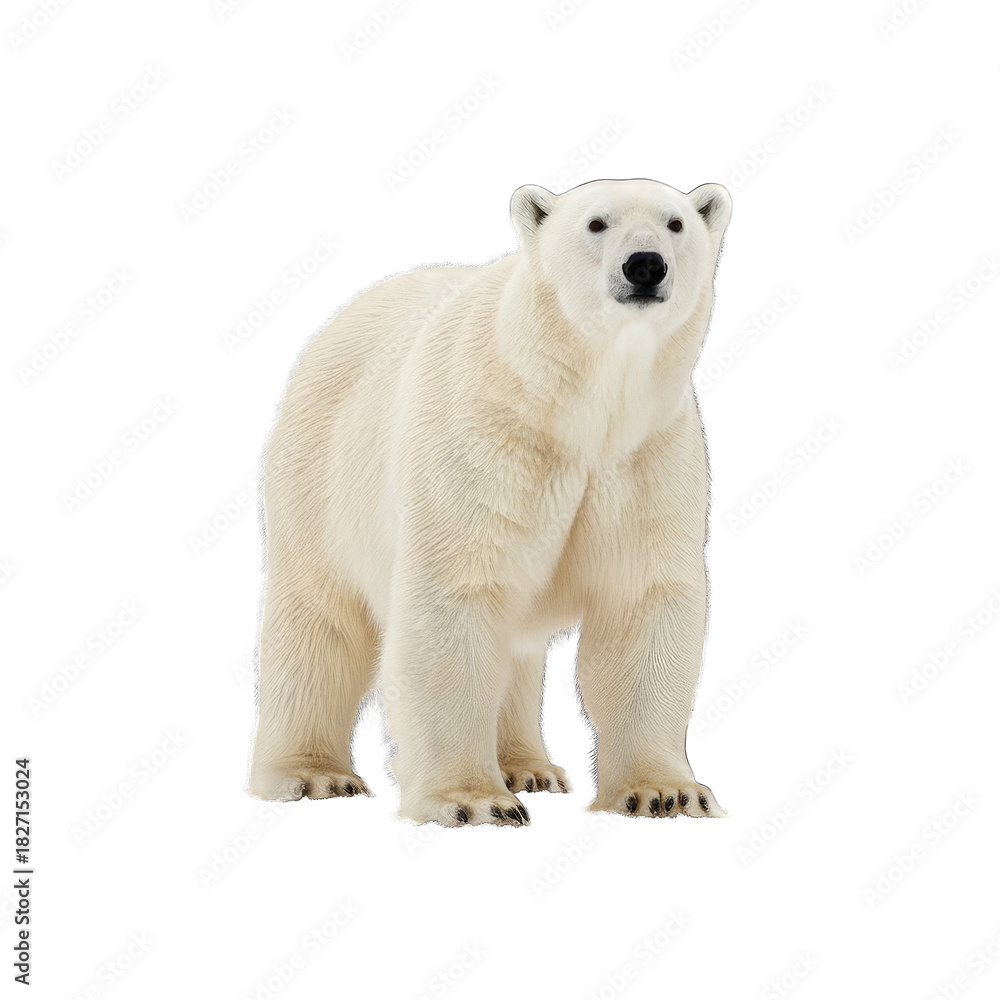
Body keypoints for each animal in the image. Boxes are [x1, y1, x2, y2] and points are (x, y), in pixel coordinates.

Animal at [247, 177, 731, 826]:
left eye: (675, 222)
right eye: (596, 222)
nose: (645, 264)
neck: (576, 402)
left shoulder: (646, 456)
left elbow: (642, 601)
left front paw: (666, 792)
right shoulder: (484, 439)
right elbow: (455, 596)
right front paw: (473, 800)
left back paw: (529, 766)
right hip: (319, 470)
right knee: (321, 615)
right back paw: (312, 774)